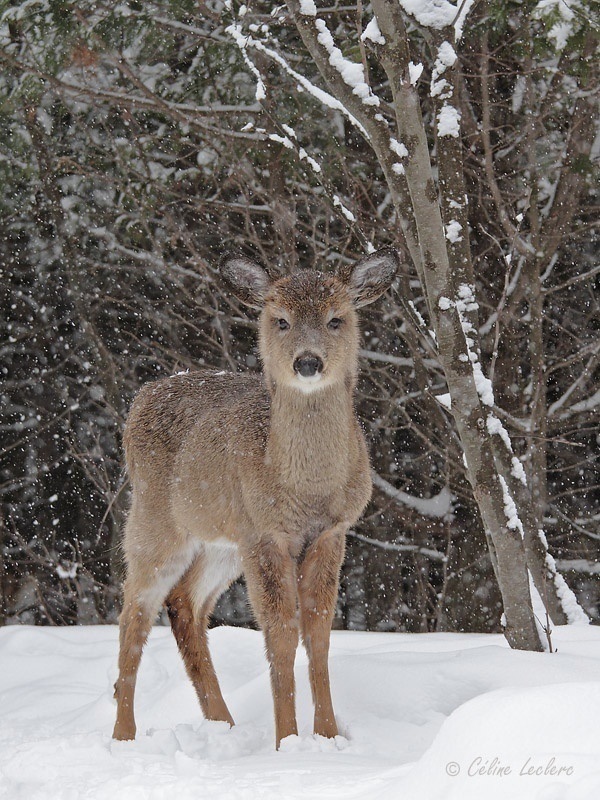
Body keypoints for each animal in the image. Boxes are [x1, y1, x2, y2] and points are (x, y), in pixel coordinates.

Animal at [115, 247, 400, 748]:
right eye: (280, 320)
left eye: (336, 319)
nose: (308, 362)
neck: (307, 487)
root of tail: (141, 397)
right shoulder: (266, 534)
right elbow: (282, 633)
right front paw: (286, 741)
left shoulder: (331, 531)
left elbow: (319, 631)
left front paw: (328, 738)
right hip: (155, 520)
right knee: (134, 613)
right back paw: (124, 736)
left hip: (222, 541)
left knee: (184, 604)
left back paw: (223, 725)